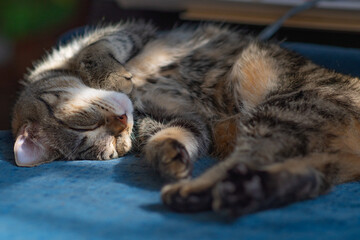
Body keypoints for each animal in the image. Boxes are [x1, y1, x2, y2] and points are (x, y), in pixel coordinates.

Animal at [11, 21, 360, 216]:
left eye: (82, 121)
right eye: (114, 147)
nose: (122, 122)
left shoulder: (130, 33)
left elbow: (94, 51)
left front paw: (113, 77)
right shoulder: (182, 120)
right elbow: (176, 134)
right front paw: (168, 155)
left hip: (283, 111)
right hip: (289, 126)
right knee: (295, 177)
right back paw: (226, 192)